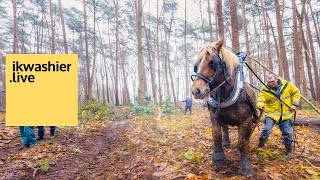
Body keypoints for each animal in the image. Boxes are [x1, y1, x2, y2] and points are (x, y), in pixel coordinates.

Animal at [191, 37, 256, 176]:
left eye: (212, 62)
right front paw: (218, 160)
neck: (225, 94)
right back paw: (226, 143)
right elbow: (216, 135)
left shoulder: (246, 121)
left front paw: (246, 168)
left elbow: (243, 142)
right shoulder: (214, 116)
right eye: (196, 66)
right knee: (225, 128)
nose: (196, 91)